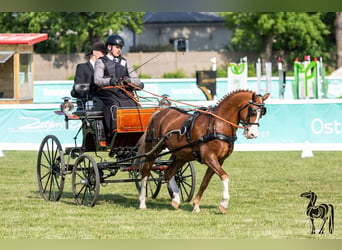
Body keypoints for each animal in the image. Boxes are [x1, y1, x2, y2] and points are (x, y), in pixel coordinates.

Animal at [138, 90, 268, 213]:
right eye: (253, 111)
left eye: (262, 113)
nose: (253, 134)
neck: (218, 124)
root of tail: (159, 112)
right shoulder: (209, 157)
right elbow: (224, 176)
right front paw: (224, 204)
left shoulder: (219, 160)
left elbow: (205, 182)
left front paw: (196, 205)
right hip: (153, 150)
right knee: (145, 172)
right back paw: (142, 202)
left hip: (182, 155)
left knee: (169, 172)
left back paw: (176, 199)